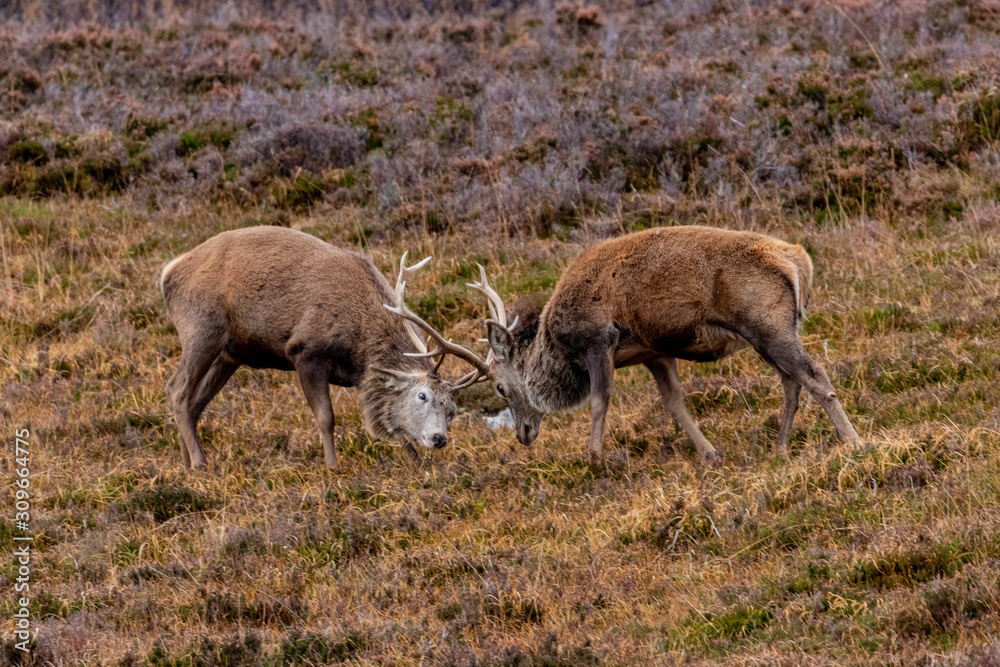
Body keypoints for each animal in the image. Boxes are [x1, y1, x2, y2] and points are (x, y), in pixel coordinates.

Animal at [159, 226, 489, 470]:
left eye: (452, 410)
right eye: (422, 395)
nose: (439, 439)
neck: (360, 348)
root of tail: (167, 273)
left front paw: (417, 464)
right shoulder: (305, 350)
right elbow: (326, 417)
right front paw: (333, 467)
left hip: (230, 353)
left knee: (196, 402)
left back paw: (187, 462)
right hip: (201, 326)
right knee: (177, 389)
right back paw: (199, 462)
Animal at [470, 225, 862, 461]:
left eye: (501, 387)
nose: (523, 434)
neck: (559, 348)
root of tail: (798, 260)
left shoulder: (598, 339)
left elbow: (599, 402)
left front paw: (594, 457)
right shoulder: (654, 352)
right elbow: (674, 403)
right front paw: (709, 453)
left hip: (766, 324)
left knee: (814, 374)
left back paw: (852, 440)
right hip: (770, 333)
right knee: (791, 383)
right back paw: (780, 447)